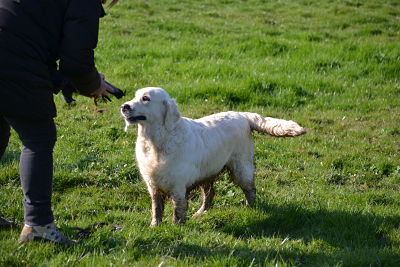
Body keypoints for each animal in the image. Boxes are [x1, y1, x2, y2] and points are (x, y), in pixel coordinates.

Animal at [120, 88, 304, 226]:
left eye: (145, 98)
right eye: (135, 96)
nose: (124, 106)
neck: (156, 142)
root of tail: (242, 115)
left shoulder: (177, 186)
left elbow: (177, 211)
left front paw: (176, 228)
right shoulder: (153, 185)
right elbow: (156, 209)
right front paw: (154, 226)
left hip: (241, 168)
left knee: (250, 189)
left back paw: (249, 208)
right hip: (207, 172)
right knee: (210, 195)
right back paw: (199, 214)